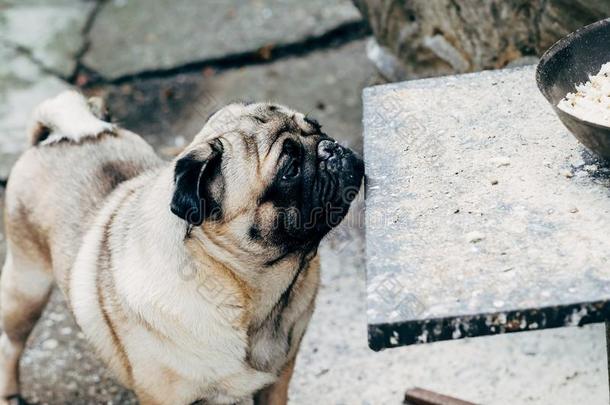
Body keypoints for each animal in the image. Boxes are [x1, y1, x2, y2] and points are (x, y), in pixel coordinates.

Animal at [0, 91, 360, 404]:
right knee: (11, 345)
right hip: (26, 289)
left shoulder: (277, 381)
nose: (331, 148)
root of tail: (50, 139)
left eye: (318, 128)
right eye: (290, 169)